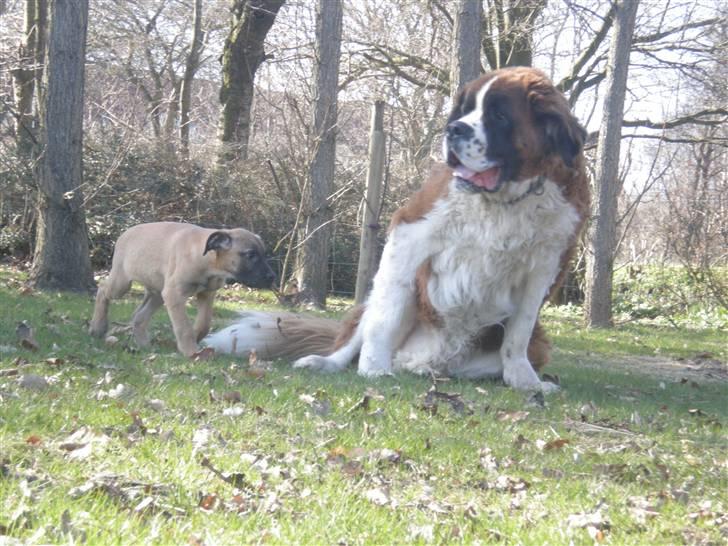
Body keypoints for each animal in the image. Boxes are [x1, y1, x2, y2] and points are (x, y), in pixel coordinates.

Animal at [89, 222, 276, 356]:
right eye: (251, 255)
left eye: (263, 254)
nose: (272, 277)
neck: (207, 262)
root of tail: (124, 234)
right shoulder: (175, 294)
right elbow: (184, 327)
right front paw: (191, 351)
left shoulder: (206, 294)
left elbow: (204, 323)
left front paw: (197, 337)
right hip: (122, 282)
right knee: (103, 290)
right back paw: (98, 327)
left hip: (158, 293)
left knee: (139, 317)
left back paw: (145, 345)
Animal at [202, 67, 588, 392]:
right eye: (463, 111)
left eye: (499, 115)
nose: (454, 129)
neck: (505, 201)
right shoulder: (410, 232)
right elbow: (383, 321)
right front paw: (373, 368)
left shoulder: (544, 269)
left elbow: (518, 332)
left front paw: (525, 382)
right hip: (368, 303)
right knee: (357, 335)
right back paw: (329, 362)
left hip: (538, 342)